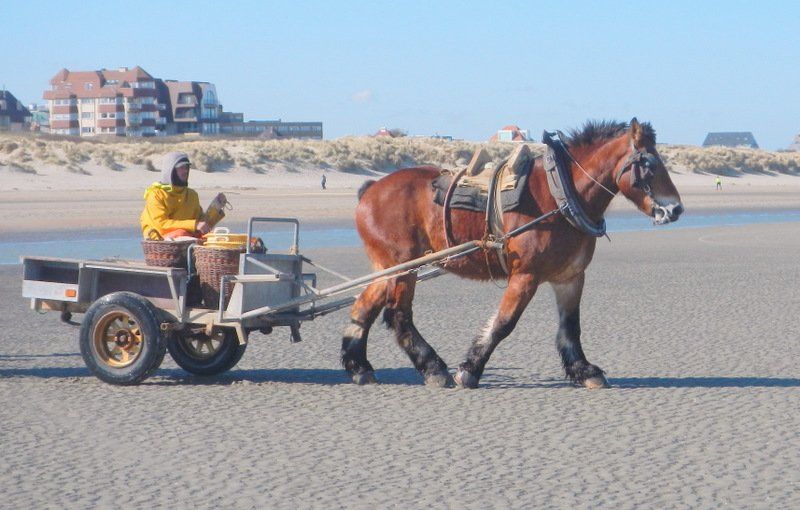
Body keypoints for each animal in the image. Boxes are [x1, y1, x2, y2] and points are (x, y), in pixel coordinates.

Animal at [341, 119, 683, 389]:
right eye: (650, 164)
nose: (676, 209)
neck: (559, 195)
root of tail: (370, 189)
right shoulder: (526, 276)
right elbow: (504, 323)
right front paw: (471, 369)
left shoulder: (570, 277)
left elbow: (571, 328)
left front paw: (584, 370)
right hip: (403, 268)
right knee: (398, 316)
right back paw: (433, 368)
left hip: (387, 267)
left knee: (363, 308)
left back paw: (359, 366)